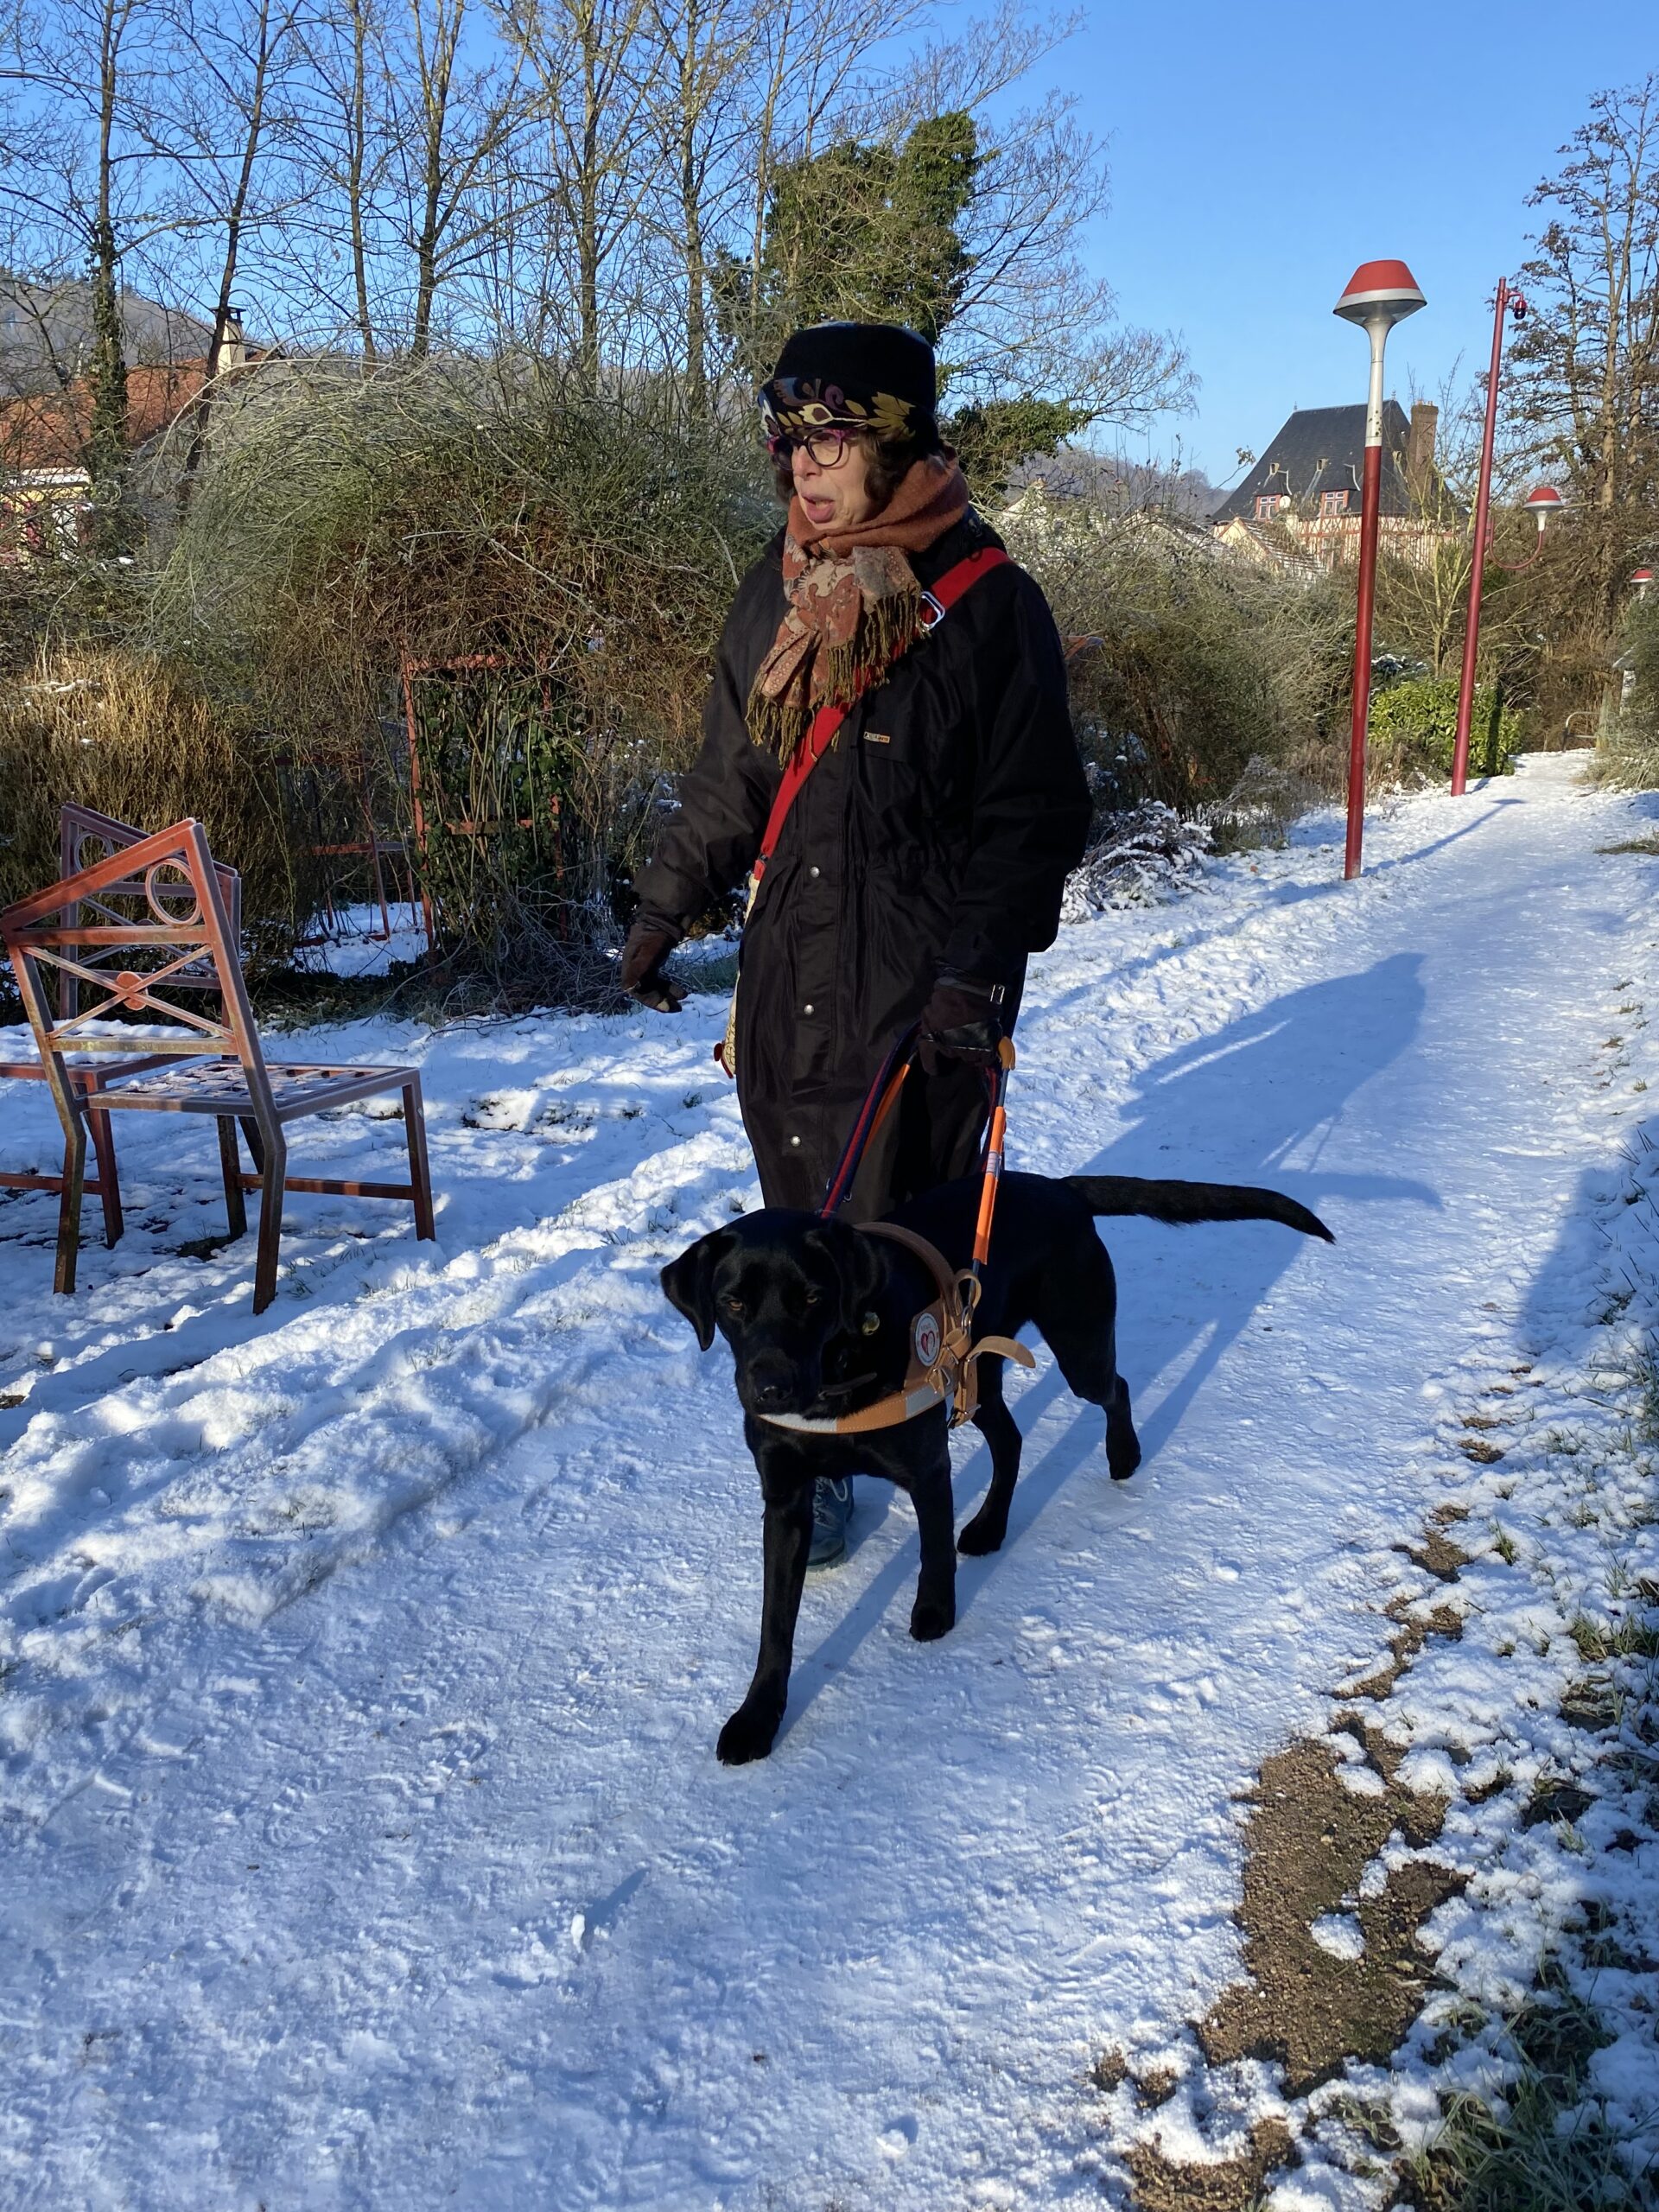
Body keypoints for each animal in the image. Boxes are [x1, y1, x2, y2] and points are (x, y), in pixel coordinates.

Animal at [668, 1176, 1336, 1760]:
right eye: (732, 1302)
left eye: (812, 1297)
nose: (771, 1389)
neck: (837, 1376)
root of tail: (1057, 1188)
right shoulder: (784, 1501)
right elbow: (774, 1626)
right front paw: (757, 1717)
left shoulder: (927, 1469)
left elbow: (933, 1551)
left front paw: (935, 1614)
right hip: (977, 1370)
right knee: (1011, 1439)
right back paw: (991, 1526)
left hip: (1075, 1343)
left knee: (1112, 1388)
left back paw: (1122, 1455)